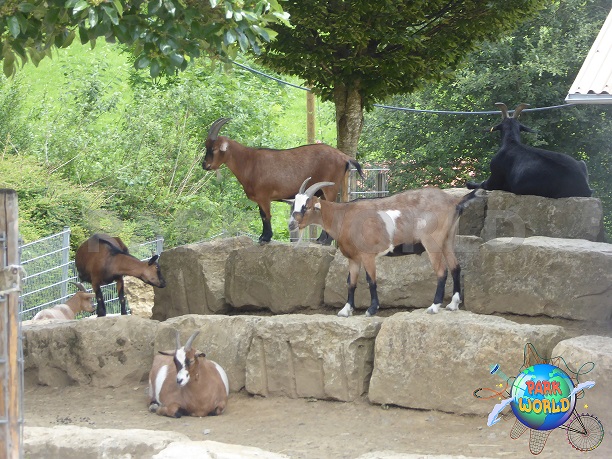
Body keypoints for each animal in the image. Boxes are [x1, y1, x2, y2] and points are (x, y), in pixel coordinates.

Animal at [201, 117, 364, 244]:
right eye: (206, 146)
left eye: (214, 148)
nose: (205, 165)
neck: (249, 162)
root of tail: (344, 157)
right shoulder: (261, 198)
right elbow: (262, 215)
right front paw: (263, 237)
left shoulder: (264, 196)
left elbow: (266, 216)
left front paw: (265, 238)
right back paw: (320, 240)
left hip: (330, 187)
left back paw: (325, 241)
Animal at [288, 178, 478, 318]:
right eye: (293, 206)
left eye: (306, 207)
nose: (290, 225)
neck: (344, 216)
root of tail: (453, 201)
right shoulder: (353, 258)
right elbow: (351, 282)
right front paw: (346, 310)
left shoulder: (368, 255)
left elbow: (371, 280)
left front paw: (371, 309)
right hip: (447, 240)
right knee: (455, 267)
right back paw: (453, 304)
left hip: (432, 241)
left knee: (442, 271)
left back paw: (434, 306)